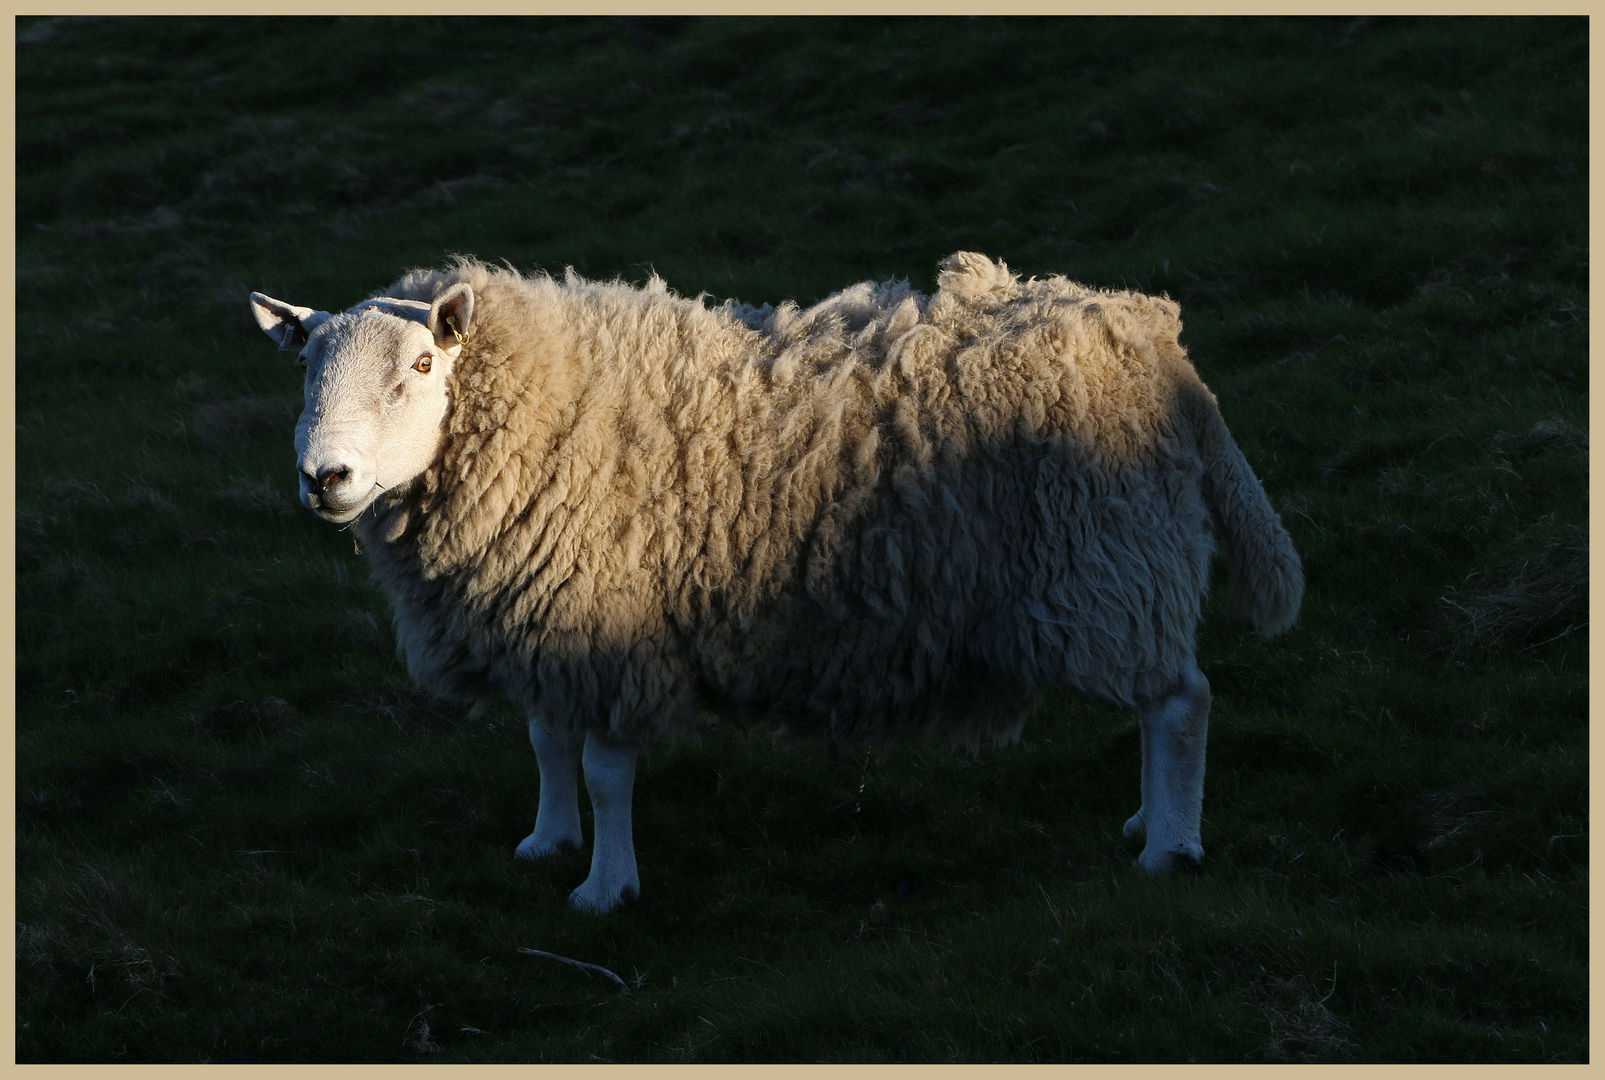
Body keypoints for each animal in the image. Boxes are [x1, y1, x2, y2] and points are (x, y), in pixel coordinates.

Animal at [250, 250, 1303, 911]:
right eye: (303, 371)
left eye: (425, 361)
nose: (324, 478)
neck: (546, 408)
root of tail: (1146, 336)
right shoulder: (542, 619)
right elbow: (548, 743)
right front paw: (548, 843)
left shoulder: (611, 622)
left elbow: (604, 770)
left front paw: (605, 888)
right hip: (1115, 566)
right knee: (1161, 705)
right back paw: (1147, 817)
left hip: (1107, 560)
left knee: (1179, 704)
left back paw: (1169, 847)